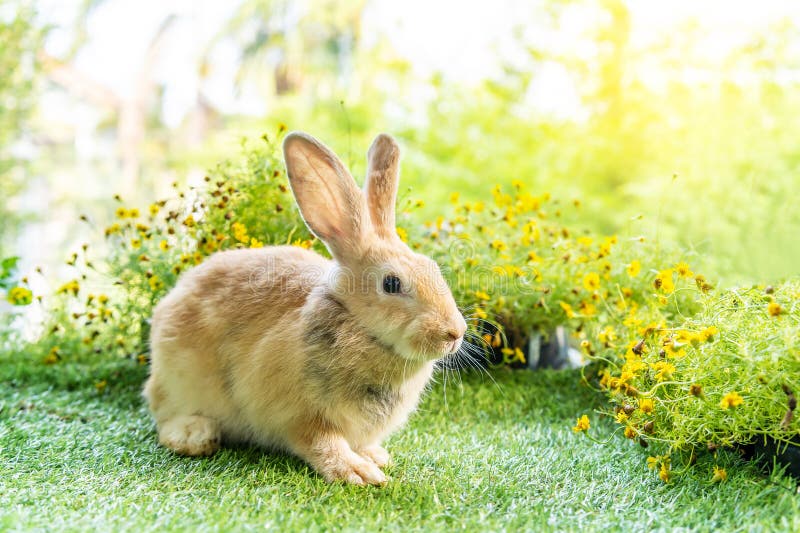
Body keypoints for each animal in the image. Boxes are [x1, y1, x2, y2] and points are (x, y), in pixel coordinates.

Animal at [144, 131, 468, 484]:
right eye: (392, 283)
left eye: (433, 268)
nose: (455, 333)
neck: (360, 327)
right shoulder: (300, 416)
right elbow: (322, 442)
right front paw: (357, 473)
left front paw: (375, 457)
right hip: (181, 381)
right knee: (165, 415)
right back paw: (195, 436)